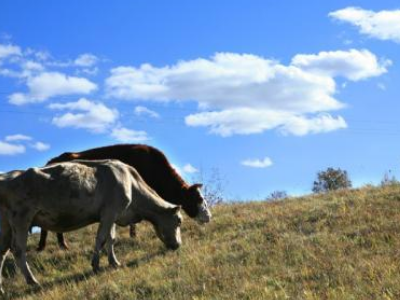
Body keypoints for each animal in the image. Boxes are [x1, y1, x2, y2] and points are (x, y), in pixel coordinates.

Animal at [0, 159, 181, 292]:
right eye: (179, 221)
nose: (178, 245)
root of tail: (6, 176)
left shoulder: (112, 215)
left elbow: (111, 239)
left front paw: (114, 262)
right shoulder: (110, 212)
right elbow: (100, 239)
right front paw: (96, 265)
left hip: (6, 225)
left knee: (2, 253)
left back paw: (2, 289)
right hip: (21, 218)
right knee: (18, 250)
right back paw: (32, 281)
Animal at [38, 144, 211, 252]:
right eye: (198, 199)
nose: (209, 217)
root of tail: (50, 162)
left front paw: (132, 234)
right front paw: (133, 235)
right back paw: (47, 246)